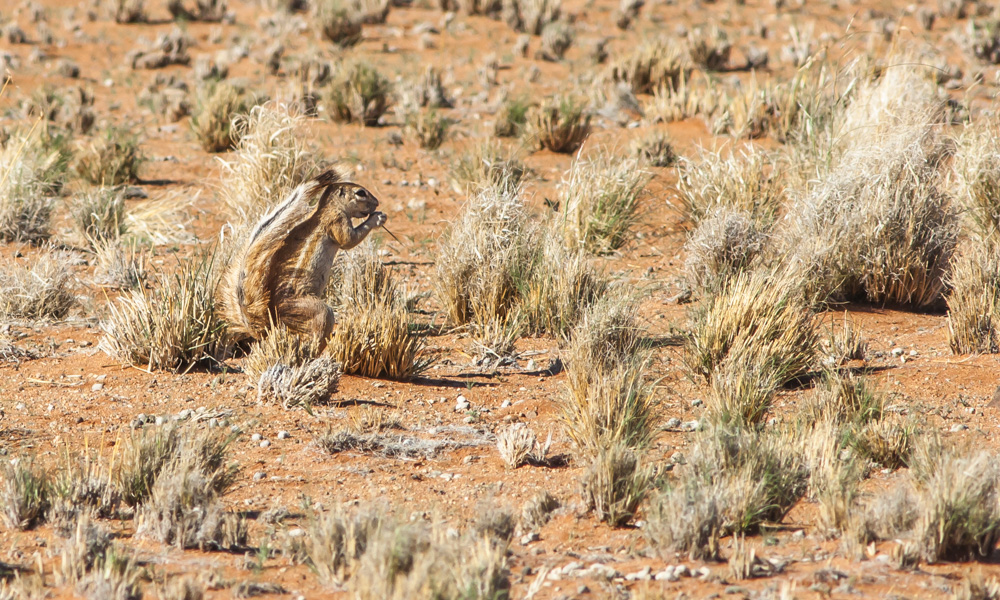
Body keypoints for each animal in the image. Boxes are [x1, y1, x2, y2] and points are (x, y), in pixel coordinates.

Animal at [220, 169, 386, 346]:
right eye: (360, 193)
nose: (377, 203)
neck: (327, 207)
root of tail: (269, 323)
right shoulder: (337, 221)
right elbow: (349, 241)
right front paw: (377, 218)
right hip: (314, 310)